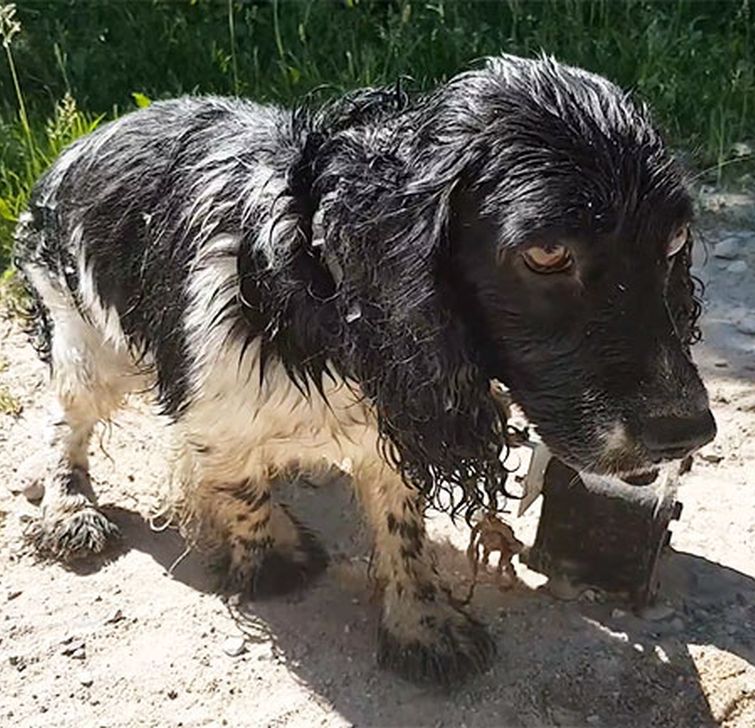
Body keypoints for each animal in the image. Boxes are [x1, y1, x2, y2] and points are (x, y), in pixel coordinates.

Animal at [14, 54, 716, 684]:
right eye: (547, 254)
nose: (689, 433)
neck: (319, 281)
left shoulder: (391, 417)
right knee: (64, 428)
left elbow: (400, 523)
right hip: (83, 341)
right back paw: (70, 510)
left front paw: (422, 625)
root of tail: (83, 140)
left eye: (677, 242)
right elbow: (239, 487)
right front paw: (270, 555)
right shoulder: (214, 404)